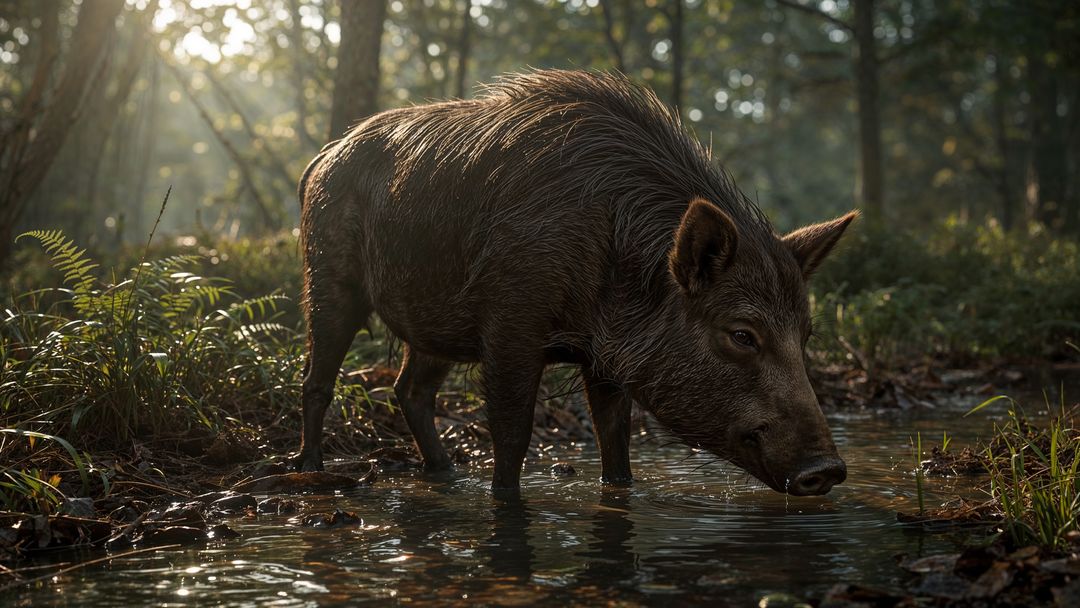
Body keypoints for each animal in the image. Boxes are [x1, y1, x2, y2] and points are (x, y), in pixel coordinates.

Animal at [293, 69, 856, 495]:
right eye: (742, 334)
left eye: (806, 335)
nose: (828, 470)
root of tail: (322, 156)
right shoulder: (511, 323)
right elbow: (512, 435)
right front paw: (503, 500)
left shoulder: (604, 359)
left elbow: (615, 436)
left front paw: (619, 490)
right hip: (328, 276)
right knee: (317, 379)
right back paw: (309, 470)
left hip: (433, 323)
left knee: (409, 390)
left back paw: (445, 474)